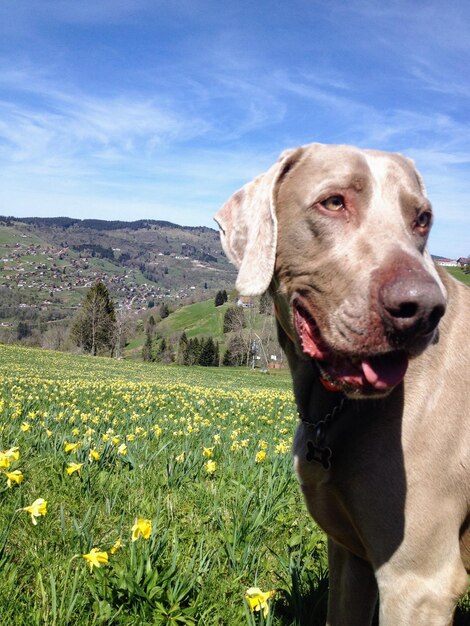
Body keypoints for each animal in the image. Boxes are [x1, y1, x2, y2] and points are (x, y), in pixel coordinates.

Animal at [217, 143, 470, 624]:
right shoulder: (351, 556)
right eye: (333, 202)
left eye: (422, 218)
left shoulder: (417, 584)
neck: (335, 407)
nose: (424, 310)